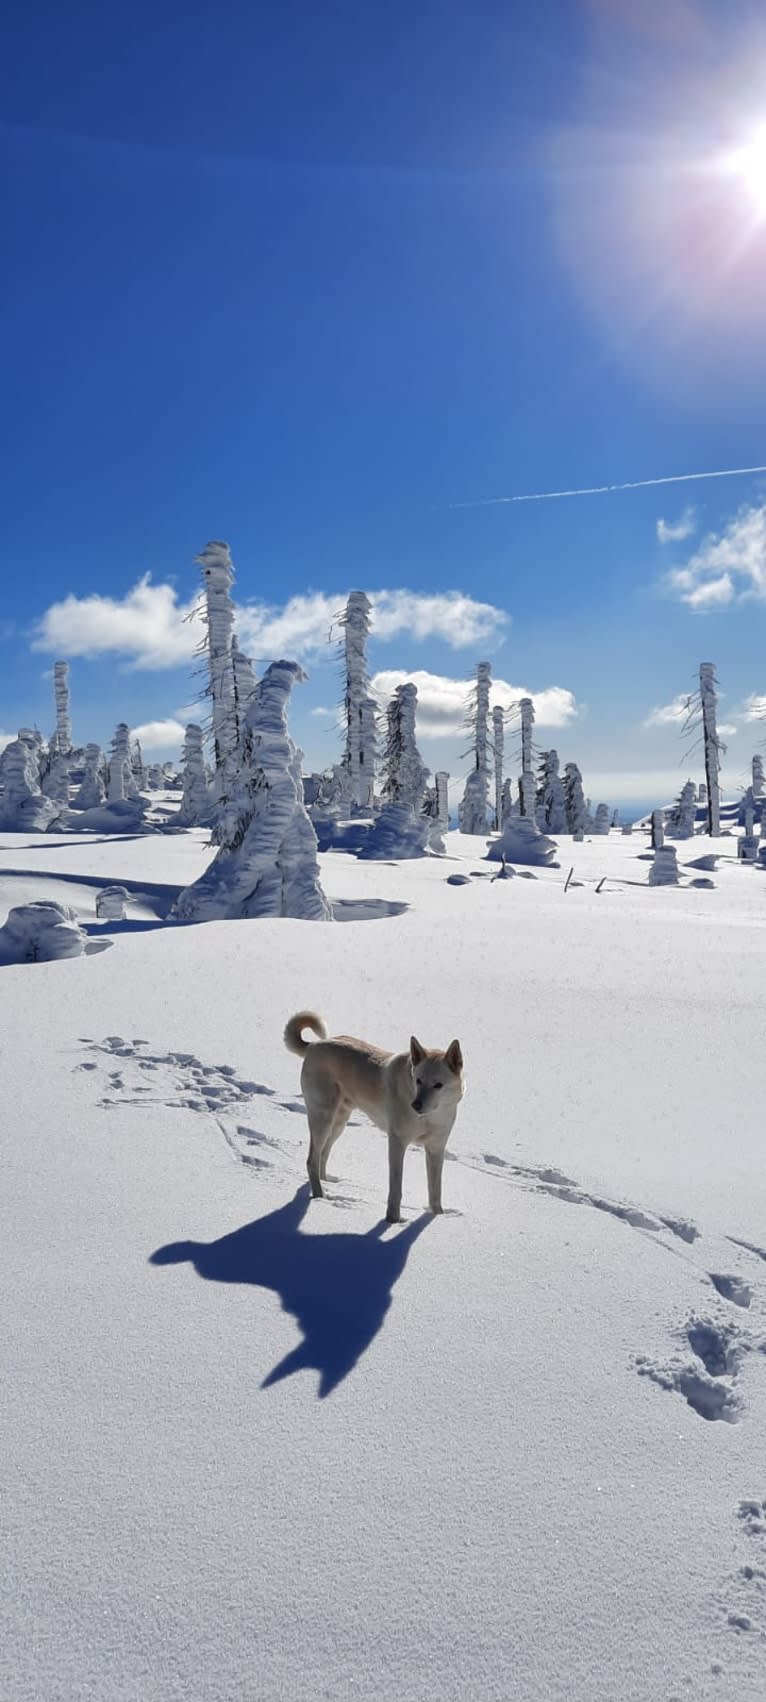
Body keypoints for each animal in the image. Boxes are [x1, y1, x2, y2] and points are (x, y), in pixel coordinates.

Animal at [284, 1007, 463, 1225]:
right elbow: (396, 1189)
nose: (415, 1105)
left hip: (339, 1122)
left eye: (438, 1085)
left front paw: (437, 1217)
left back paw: (329, 1183)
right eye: (418, 1080)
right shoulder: (397, 1142)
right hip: (323, 1118)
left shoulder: (436, 1149)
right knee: (311, 1160)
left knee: (322, 1156)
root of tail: (314, 1046)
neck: (430, 1117)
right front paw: (393, 1220)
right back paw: (320, 1197)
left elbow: (435, 1191)